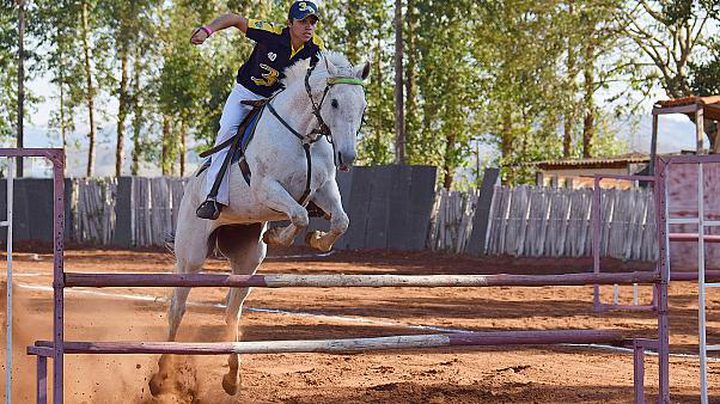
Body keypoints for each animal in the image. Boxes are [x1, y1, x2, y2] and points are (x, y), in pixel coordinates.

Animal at [148, 51, 368, 398]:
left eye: (362, 107)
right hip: (191, 255)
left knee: (231, 312)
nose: (346, 156)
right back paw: (160, 378)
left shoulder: (323, 188)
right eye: (333, 102)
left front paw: (317, 240)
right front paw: (279, 236)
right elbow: (299, 214)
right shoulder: (267, 188)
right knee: (177, 309)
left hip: (248, 260)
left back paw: (232, 377)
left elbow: (340, 221)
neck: (302, 134)